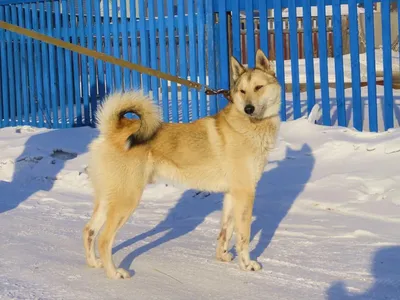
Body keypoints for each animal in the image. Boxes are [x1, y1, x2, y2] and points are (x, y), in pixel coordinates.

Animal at [82, 49, 282, 278]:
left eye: (258, 87)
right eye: (242, 91)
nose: (248, 108)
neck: (248, 126)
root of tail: (114, 129)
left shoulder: (232, 195)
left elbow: (226, 230)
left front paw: (222, 256)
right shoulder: (245, 194)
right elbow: (243, 236)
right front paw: (247, 265)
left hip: (108, 199)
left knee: (88, 230)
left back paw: (94, 263)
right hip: (126, 200)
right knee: (104, 239)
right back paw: (114, 273)